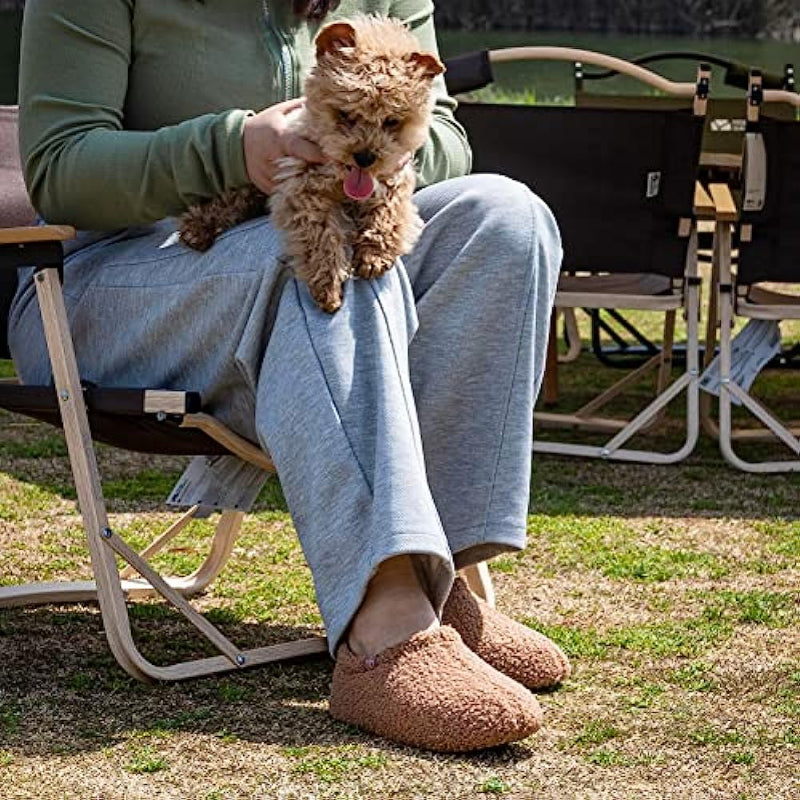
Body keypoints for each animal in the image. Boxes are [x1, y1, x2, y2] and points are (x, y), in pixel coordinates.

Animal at [179, 15, 446, 310]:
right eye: (345, 114)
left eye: (391, 121)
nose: (365, 157)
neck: (342, 176)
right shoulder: (301, 188)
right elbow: (320, 235)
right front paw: (329, 284)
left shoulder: (394, 177)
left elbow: (388, 213)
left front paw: (374, 255)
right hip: (249, 185)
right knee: (227, 201)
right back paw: (196, 228)